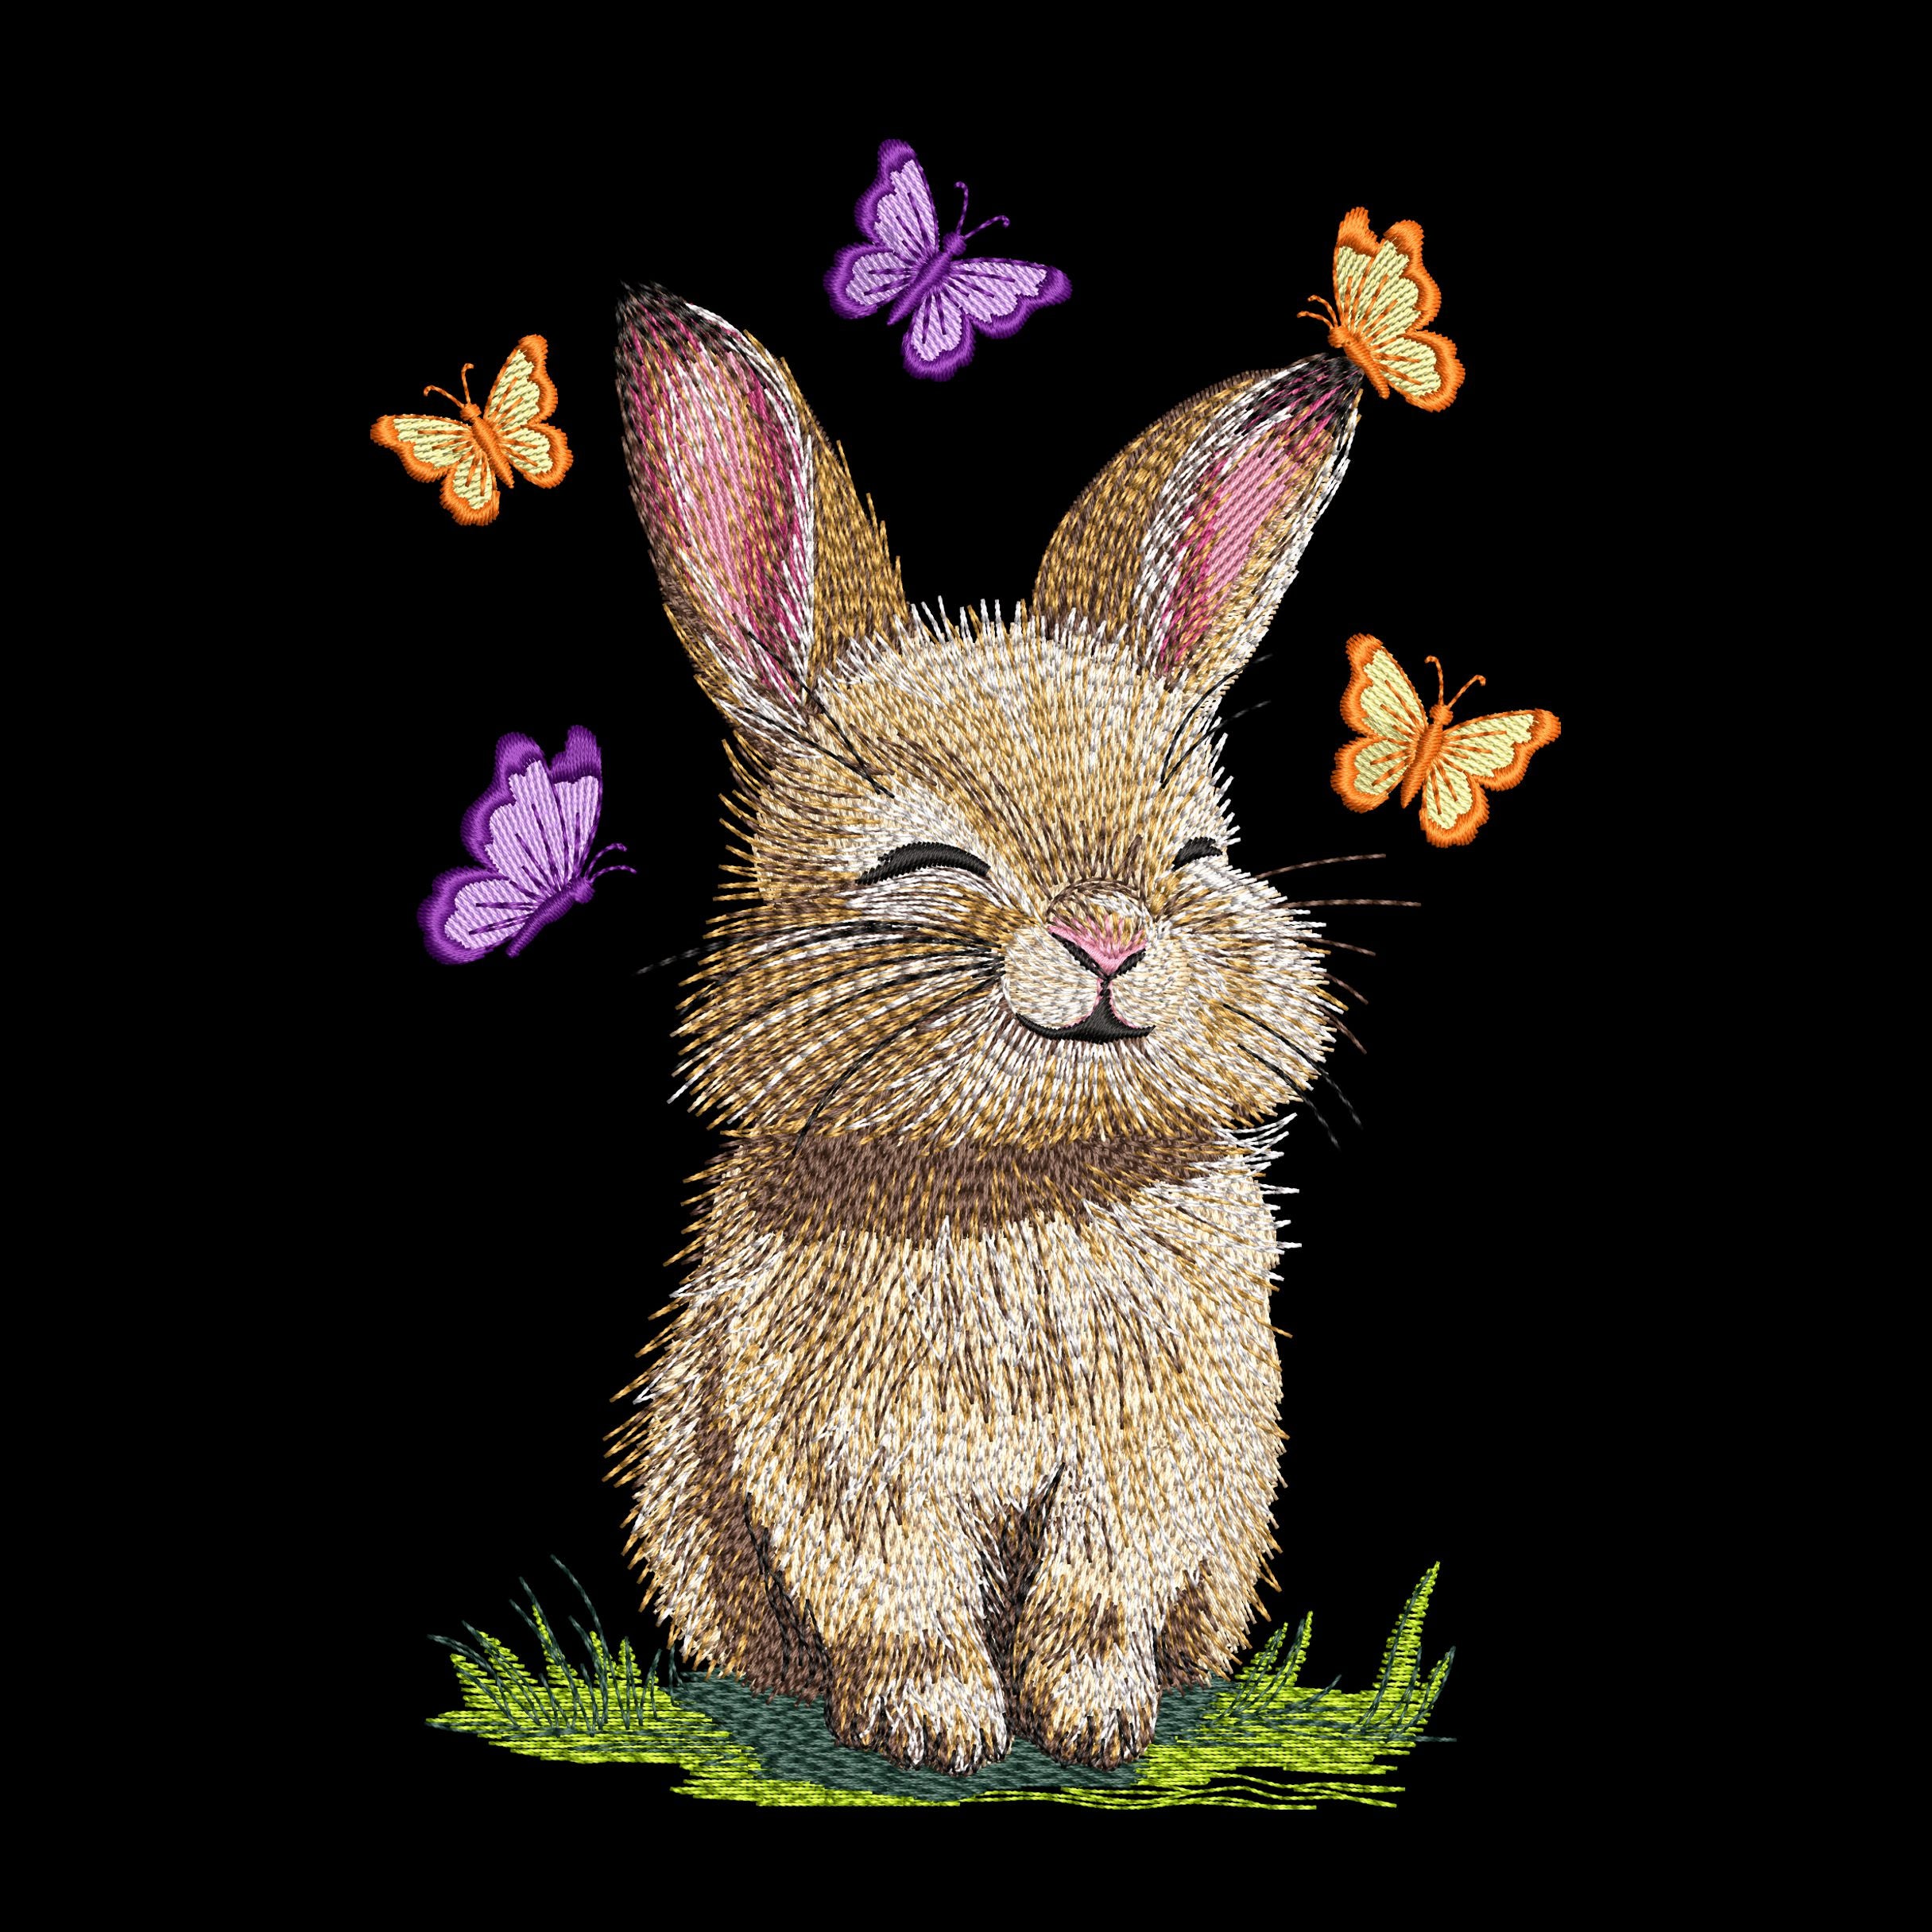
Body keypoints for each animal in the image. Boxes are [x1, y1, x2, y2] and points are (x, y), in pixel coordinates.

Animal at [610, 284, 1364, 1773]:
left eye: (1197, 853)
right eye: (922, 862)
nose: (1108, 937)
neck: (1021, 1171)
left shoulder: (1146, 1464)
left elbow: (1094, 1598)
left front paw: (1095, 1725)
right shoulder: (845, 1468)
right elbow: (900, 1601)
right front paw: (934, 1729)